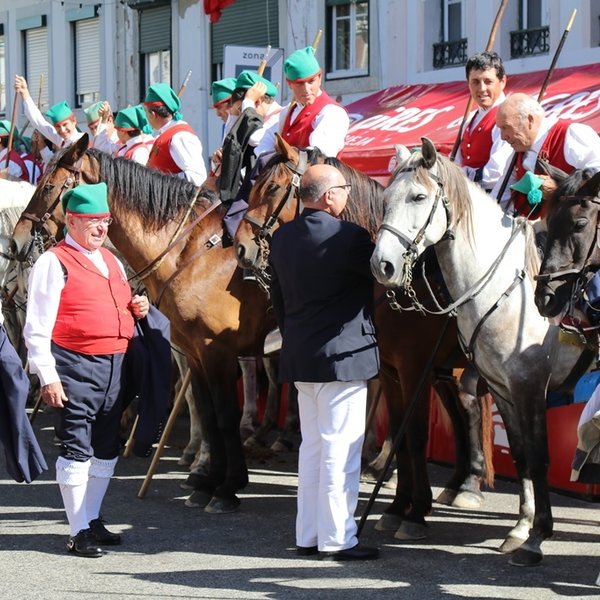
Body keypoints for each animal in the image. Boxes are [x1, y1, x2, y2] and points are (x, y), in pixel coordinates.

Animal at [11, 135, 276, 510]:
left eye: (48, 186)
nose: (17, 241)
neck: (189, 252)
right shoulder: (194, 353)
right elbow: (208, 414)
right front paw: (207, 480)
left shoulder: (216, 352)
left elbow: (224, 416)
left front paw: (227, 487)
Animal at [232, 136, 490, 540]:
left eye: (271, 188)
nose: (240, 247)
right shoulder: (391, 370)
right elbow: (401, 434)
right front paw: (400, 507)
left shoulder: (414, 369)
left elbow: (415, 435)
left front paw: (415, 512)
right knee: (462, 409)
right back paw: (460, 481)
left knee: (472, 409)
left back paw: (468, 484)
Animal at [370, 137, 592, 568]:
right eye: (385, 200)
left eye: (418, 196)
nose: (382, 265)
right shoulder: (500, 386)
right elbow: (521, 454)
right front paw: (521, 527)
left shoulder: (526, 386)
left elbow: (538, 456)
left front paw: (537, 536)